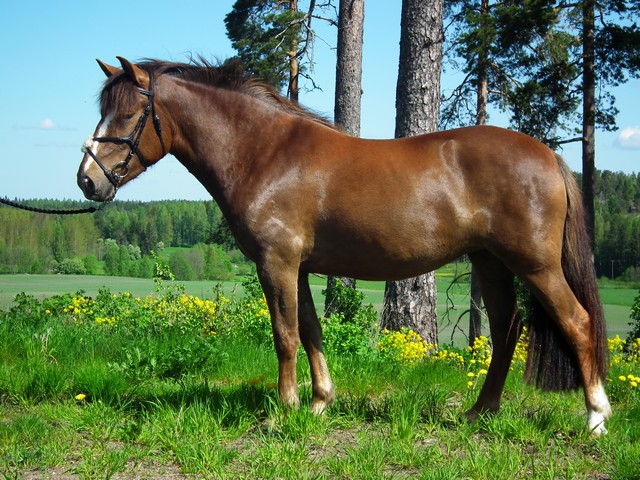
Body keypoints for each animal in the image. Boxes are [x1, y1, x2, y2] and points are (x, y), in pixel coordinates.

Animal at [77, 57, 611, 435]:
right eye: (103, 111)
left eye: (128, 114)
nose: (87, 181)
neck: (265, 153)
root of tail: (547, 154)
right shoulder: (299, 267)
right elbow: (311, 330)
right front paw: (318, 403)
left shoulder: (276, 263)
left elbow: (285, 335)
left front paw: (284, 411)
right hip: (491, 263)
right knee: (506, 331)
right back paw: (480, 412)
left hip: (535, 265)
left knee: (577, 322)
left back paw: (596, 418)